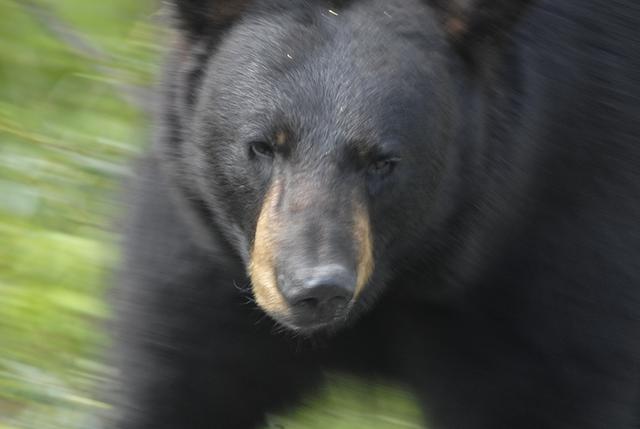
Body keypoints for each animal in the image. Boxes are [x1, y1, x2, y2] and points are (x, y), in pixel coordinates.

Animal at [112, 0, 640, 428]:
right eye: (262, 146)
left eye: (383, 161)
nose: (316, 289)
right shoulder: (209, 249)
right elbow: (183, 378)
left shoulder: (556, 240)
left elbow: (552, 387)